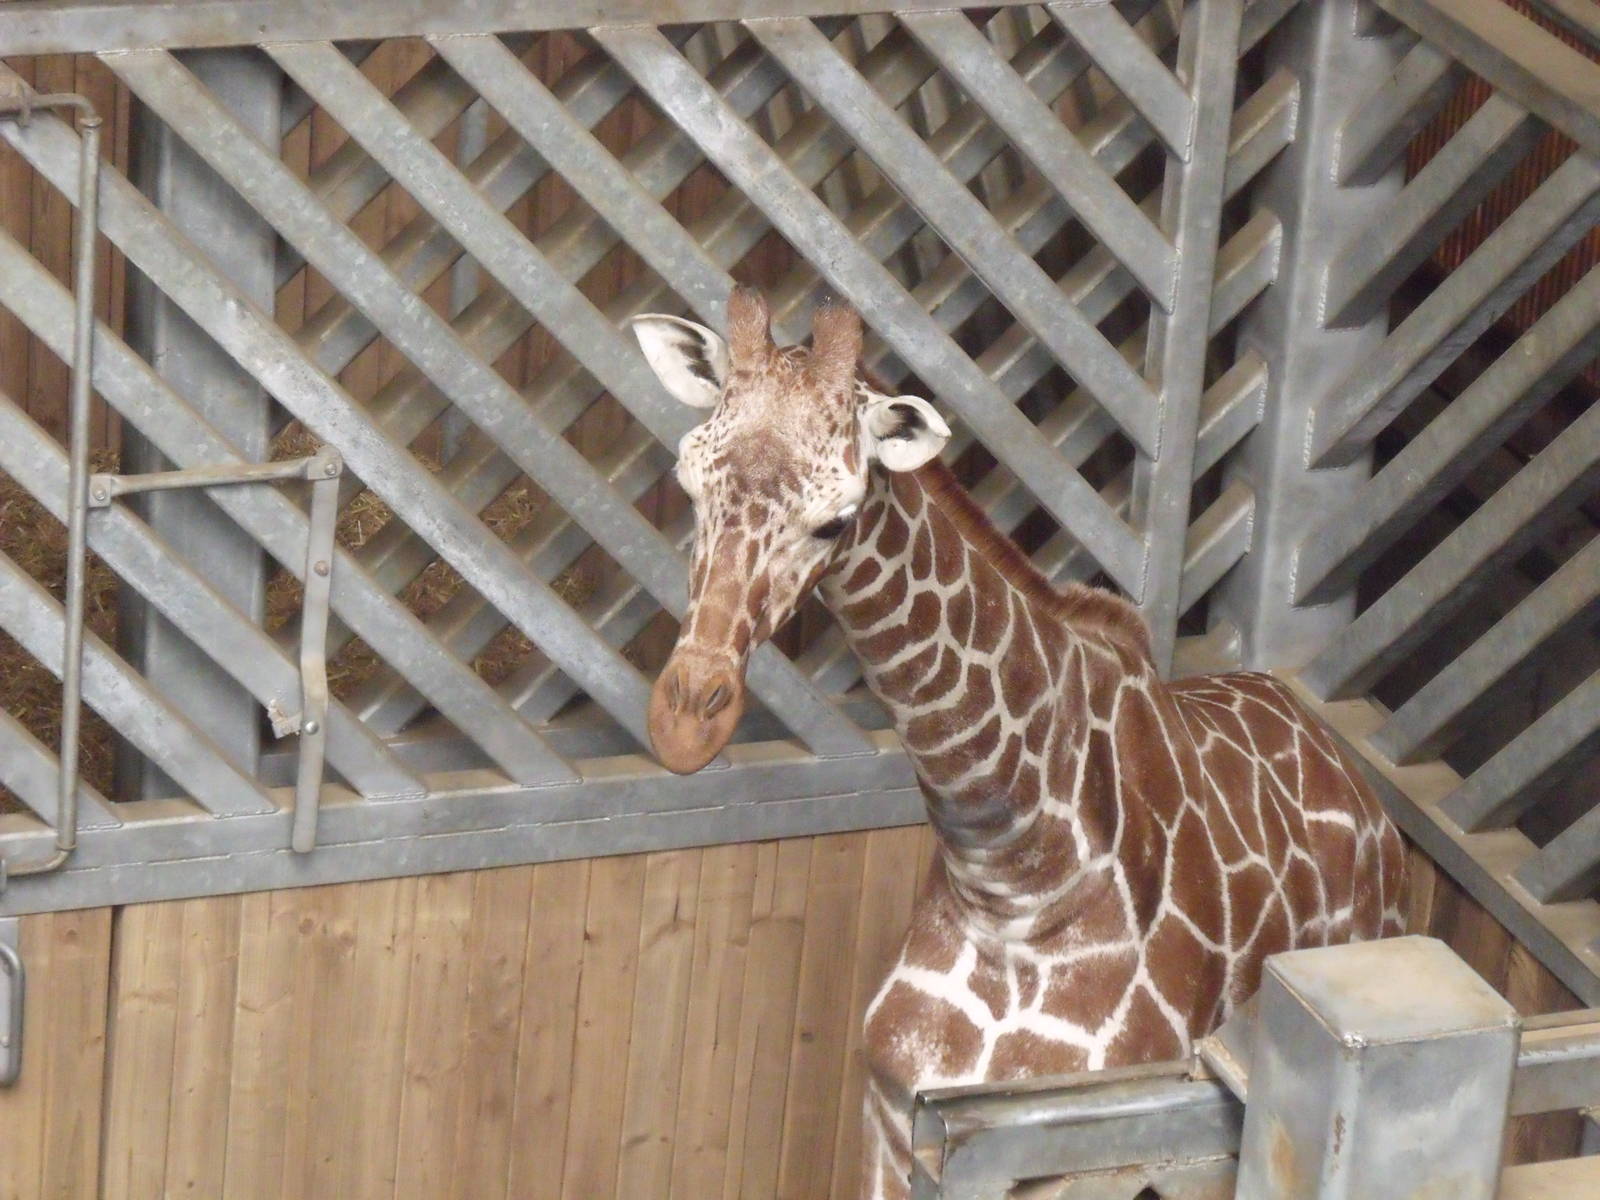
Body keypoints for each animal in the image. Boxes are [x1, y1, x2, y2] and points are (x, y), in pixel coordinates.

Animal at [630, 288, 1406, 1200]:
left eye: (835, 521)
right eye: (688, 481)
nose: (686, 724)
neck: (1013, 887)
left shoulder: (1072, 1155)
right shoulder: (892, 1113)